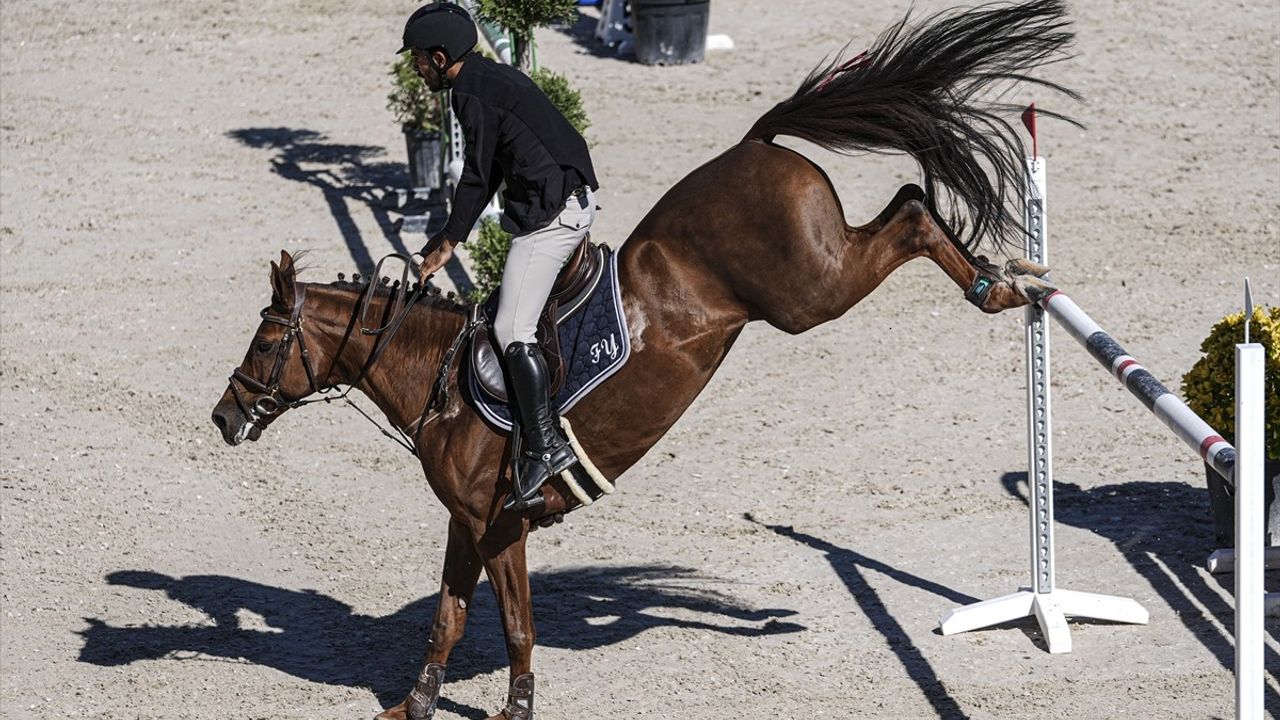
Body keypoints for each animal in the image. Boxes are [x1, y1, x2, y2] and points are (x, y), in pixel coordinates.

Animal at [215, 2, 1075, 712]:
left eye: (266, 340)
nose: (224, 416)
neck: (441, 383)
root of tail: (755, 144)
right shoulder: (467, 522)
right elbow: (447, 619)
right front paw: (413, 706)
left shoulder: (501, 526)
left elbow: (516, 626)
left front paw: (517, 708)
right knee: (909, 202)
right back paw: (1008, 278)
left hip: (809, 292)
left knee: (911, 210)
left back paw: (998, 288)